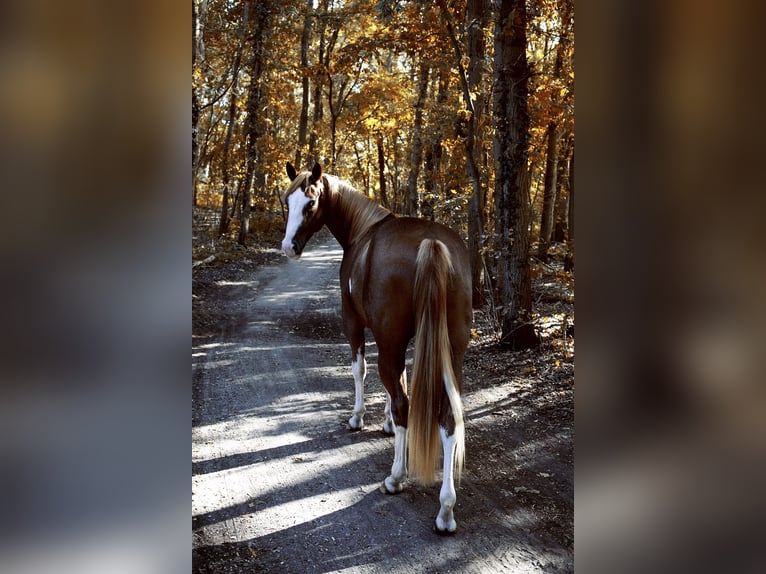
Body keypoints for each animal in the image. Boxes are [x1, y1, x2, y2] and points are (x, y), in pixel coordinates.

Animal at [280, 161, 472, 534]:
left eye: (310, 203)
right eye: (287, 202)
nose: (288, 247)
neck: (363, 230)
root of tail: (432, 244)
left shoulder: (354, 322)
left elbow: (361, 370)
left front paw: (358, 417)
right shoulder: (401, 342)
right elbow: (399, 381)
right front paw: (385, 424)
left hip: (390, 339)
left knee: (404, 405)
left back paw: (396, 478)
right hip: (452, 353)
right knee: (447, 419)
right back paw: (446, 509)